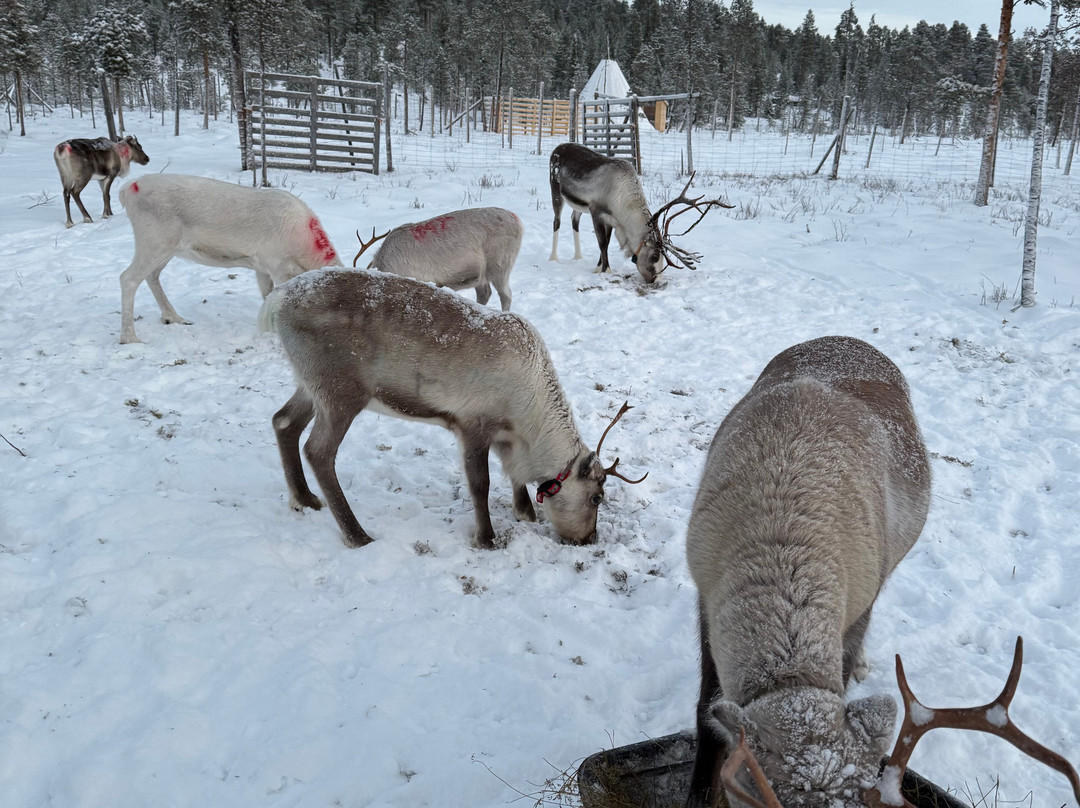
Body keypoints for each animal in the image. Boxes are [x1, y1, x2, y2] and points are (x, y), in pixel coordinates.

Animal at [117, 173, 343, 344]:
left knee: (152, 275)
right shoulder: (277, 265)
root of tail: (127, 190)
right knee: (128, 278)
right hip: (154, 241)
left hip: (168, 248)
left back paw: (174, 318)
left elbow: (267, 295)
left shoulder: (261, 267)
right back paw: (130, 338)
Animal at [258, 268, 647, 550]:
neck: (529, 419)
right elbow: (481, 483)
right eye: (596, 498)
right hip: (340, 392)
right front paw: (486, 538)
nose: (589, 539)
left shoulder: (505, 436)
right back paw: (357, 535)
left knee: (283, 421)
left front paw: (525, 513)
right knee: (318, 450)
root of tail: (276, 299)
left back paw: (304, 499)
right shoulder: (473, 424)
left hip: (311, 385)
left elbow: (514, 475)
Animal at [548, 142, 731, 283]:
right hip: (556, 190)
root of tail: (557, 147)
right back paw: (553, 258)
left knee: (574, 220)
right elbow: (602, 243)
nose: (656, 280)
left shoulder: (612, 220)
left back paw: (578, 256)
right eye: (654, 257)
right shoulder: (596, 212)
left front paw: (598, 267)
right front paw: (606, 271)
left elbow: (607, 242)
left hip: (578, 206)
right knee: (557, 221)